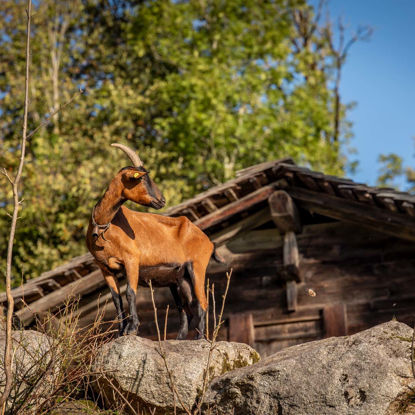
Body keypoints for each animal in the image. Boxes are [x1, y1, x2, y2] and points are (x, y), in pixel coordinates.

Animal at [87, 145, 218, 340]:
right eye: (142, 178)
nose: (162, 200)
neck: (105, 225)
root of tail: (207, 240)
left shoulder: (131, 260)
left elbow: (130, 292)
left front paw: (132, 329)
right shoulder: (105, 268)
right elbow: (117, 299)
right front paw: (120, 332)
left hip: (197, 267)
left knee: (202, 302)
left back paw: (200, 338)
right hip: (178, 280)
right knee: (184, 309)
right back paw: (179, 339)